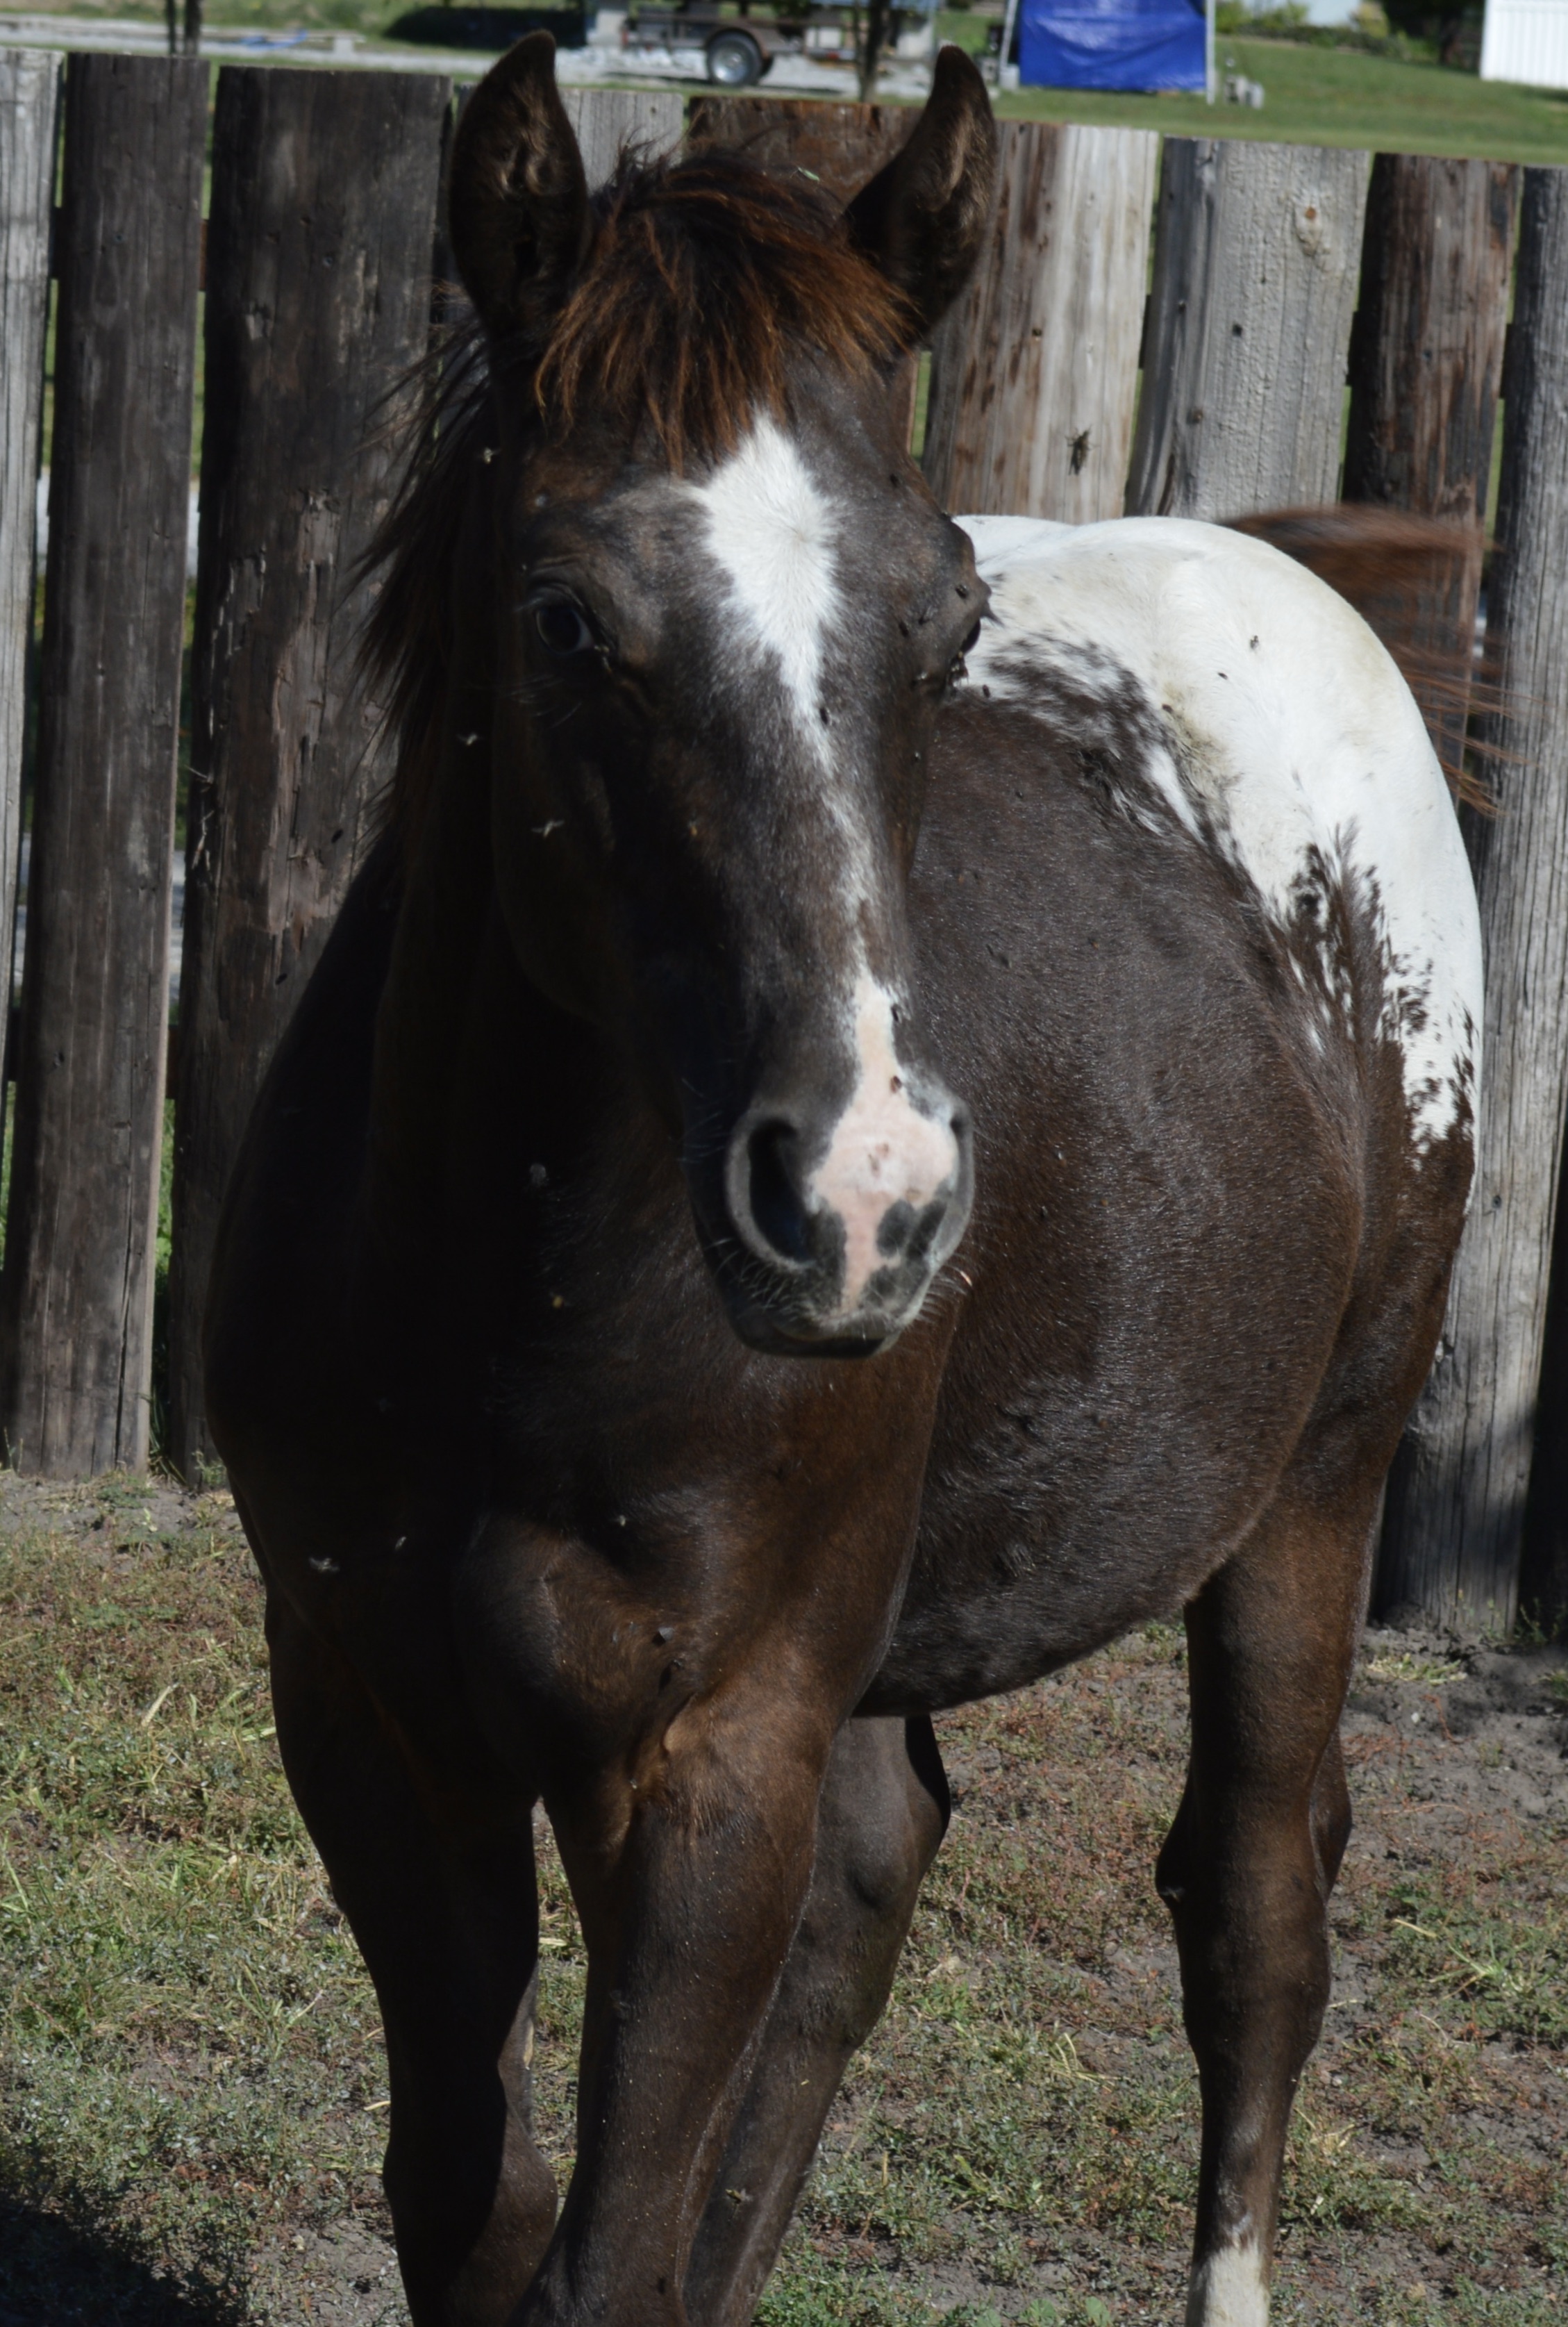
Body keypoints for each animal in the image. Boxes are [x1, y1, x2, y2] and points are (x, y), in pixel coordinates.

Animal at [204, 38, 1481, 2327]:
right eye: (563, 616)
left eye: (943, 616)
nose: (862, 1199)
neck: (518, 1304)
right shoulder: (364, 1711)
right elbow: (472, 2200)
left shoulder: (713, 1752)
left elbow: (607, 2244)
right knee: (889, 1871)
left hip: (1314, 1487)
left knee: (1252, 1910)